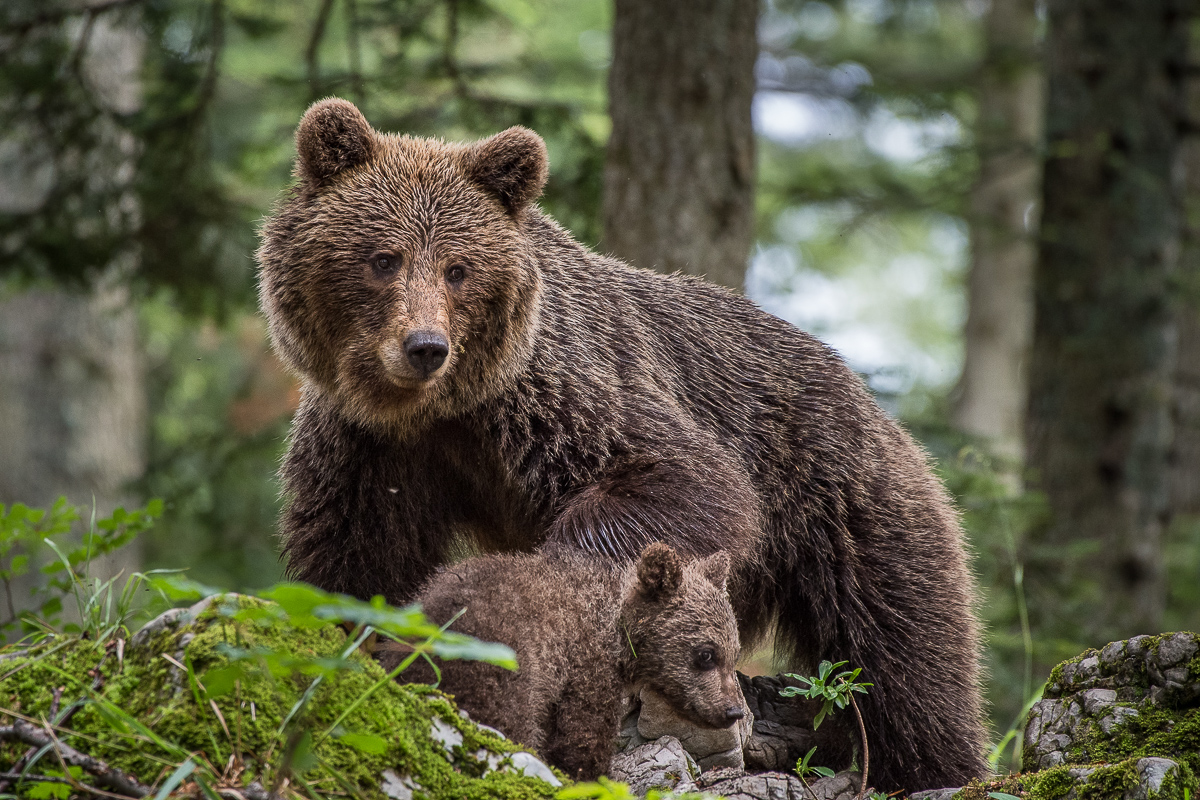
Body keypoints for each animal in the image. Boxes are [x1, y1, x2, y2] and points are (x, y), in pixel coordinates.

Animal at [258, 97, 988, 791]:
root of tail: (868, 395)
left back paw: (929, 764)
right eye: (384, 259)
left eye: (459, 269)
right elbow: (358, 565)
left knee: (901, 650)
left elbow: (679, 480)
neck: (446, 409)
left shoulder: (569, 392)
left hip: (844, 499)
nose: (425, 346)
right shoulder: (373, 449)